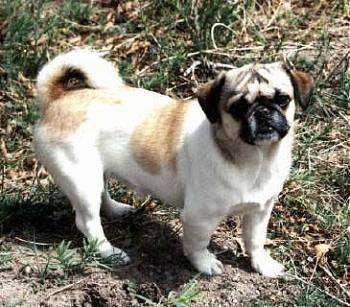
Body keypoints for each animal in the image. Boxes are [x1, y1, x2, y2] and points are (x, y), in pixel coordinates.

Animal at [34, 49, 314, 278]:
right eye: (238, 108)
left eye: (283, 100)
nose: (263, 111)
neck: (255, 158)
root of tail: (56, 99)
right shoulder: (199, 217)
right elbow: (197, 244)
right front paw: (204, 264)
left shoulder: (259, 211)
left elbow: (255, 241)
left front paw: (262, 264)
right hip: (81, 180)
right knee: (88, 222)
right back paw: (109, 251)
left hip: (94, 173)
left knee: (102, 195)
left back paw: (116, 210)